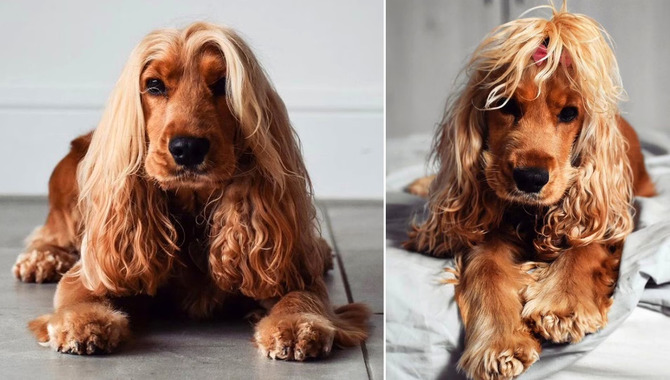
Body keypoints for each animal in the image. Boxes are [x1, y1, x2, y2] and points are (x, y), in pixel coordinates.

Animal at [14, 22, 372, 360]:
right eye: (154, 85)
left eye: (223, 85)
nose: (187, 148)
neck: (193, 208)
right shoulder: (95, 268)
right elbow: (80, 291)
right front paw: (82, 324)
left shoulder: (289, 269)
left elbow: (303, 294)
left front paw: (296, 327)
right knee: (50, 235)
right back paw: (40, 260)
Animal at [404, 5, 656, 380]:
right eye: (506, 105)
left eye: (569, 113)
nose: (531, 178)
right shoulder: (489, 229)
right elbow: (486, 269)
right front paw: (499, 344)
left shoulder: (605, 216)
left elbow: (585, 246)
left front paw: (563, 306)